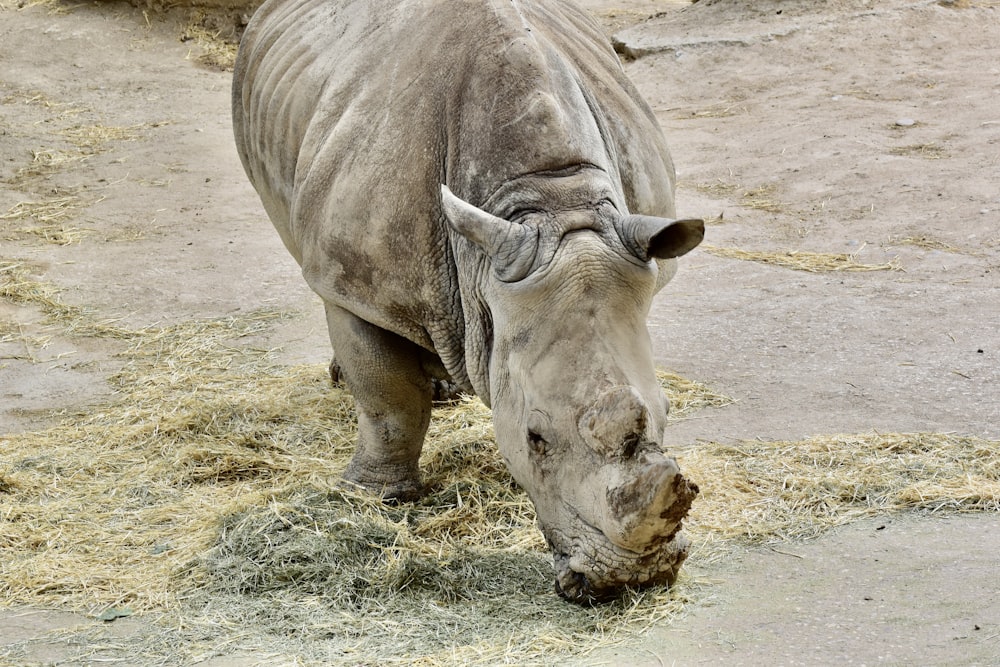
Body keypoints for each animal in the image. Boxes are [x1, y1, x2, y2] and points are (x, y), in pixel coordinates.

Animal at [233, 0, 704, 604]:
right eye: (535, 439)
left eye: (668, 413)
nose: (632, 580)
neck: (550, 203)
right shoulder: (354, 284)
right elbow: (388, 399)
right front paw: (376, 498)